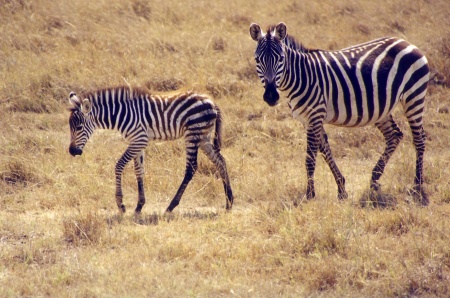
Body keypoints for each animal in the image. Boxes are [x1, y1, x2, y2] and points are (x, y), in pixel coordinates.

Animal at [69, 85, 236, 213]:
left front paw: (121, 204)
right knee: (220, 161)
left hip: (193, 134)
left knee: (191, 167)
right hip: (203, 137)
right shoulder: (137, 141)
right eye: (70, 127)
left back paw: (171, 206)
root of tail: (211, 101)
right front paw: (139, 206)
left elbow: (119, 165)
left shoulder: (139, 140)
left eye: (79, 127)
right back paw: (229, 202)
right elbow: (139, 171)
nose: (72, 151)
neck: (122, 114)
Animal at [250, 22, 428, 205]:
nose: (271, 96)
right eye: (257, 60)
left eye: (281, 59)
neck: (301, 76)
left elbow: (310, 158)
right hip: (382, 109)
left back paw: (417, 186)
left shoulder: (315, 115)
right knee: (395, 135)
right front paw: (341, 189)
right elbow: (324, 150)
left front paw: (310, 194)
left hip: (414, 95)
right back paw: (374, 180)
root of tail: (405, 42)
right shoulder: (308, 119)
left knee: (419, 139)